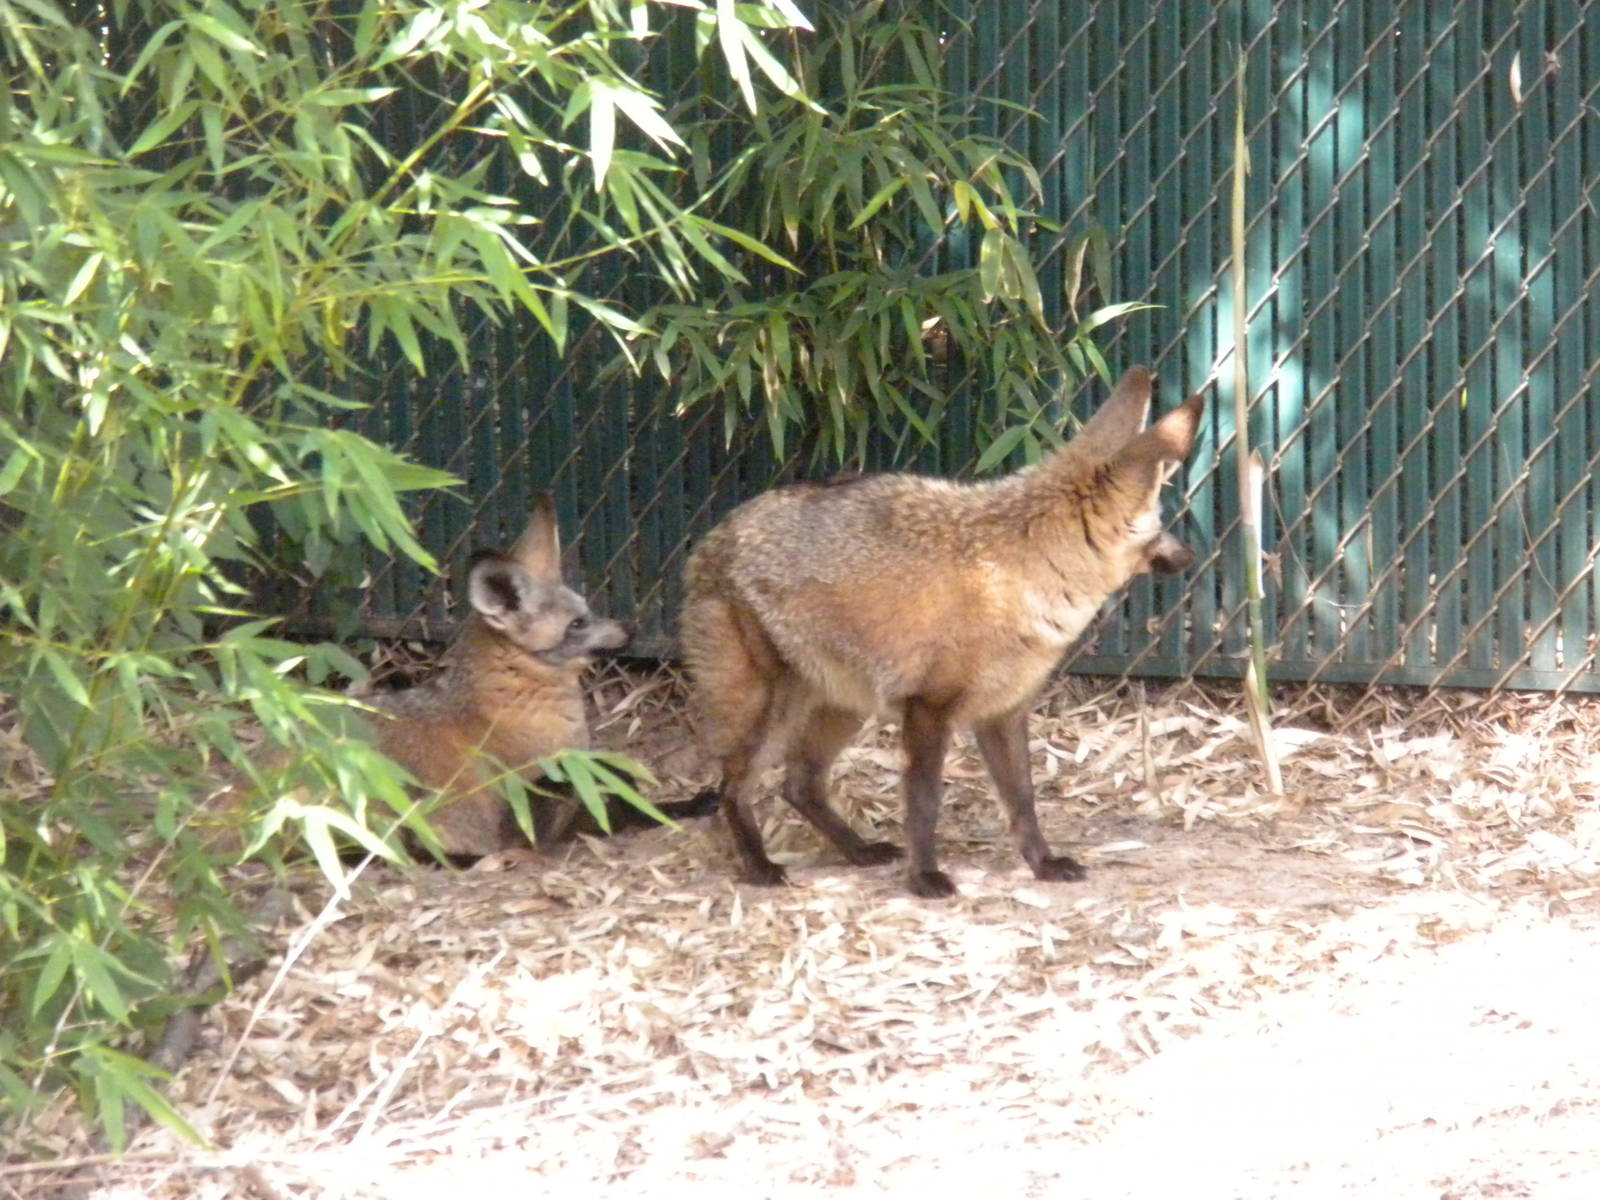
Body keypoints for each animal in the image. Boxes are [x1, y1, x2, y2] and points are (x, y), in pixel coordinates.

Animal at [680, 366, 1204, 898]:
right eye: (1163, 520)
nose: (1190, 556)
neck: (1024, 572)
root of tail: (712, 538)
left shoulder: (1005, 711)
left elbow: (1023, 803)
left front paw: (1043, 863)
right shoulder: (928, 709)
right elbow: (924, 803)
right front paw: (924, 877)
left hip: (844, 705)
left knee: (798, 784)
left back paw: (856, 850)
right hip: (773, 708)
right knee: (733, 786)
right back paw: (757, 864)